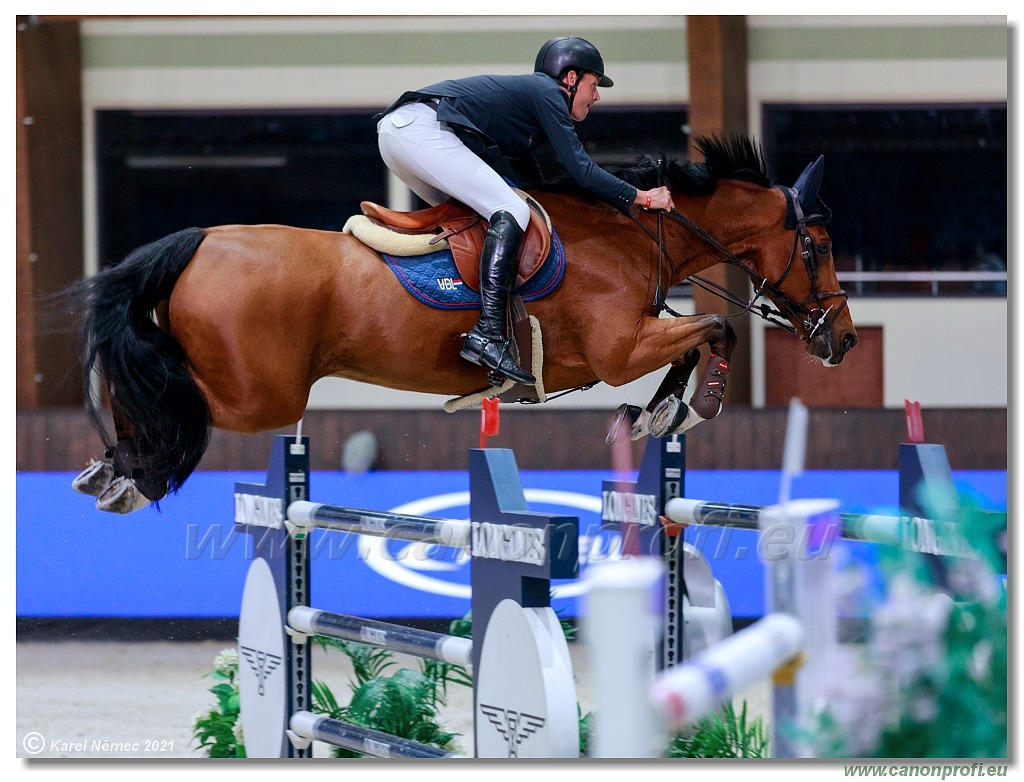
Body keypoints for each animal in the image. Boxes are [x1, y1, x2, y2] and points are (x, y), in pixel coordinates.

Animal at [66, 134, 856, 513]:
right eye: (818, 247)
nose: (844, 338)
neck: (632, 234)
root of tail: (202, 240)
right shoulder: (619, 350)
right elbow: (714, 331)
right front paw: (684, 408)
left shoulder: (631, 343)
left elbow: (698, 339)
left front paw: (654, 413)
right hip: (259, 395)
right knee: (165, 393)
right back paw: (135, 469)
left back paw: (115, 471)